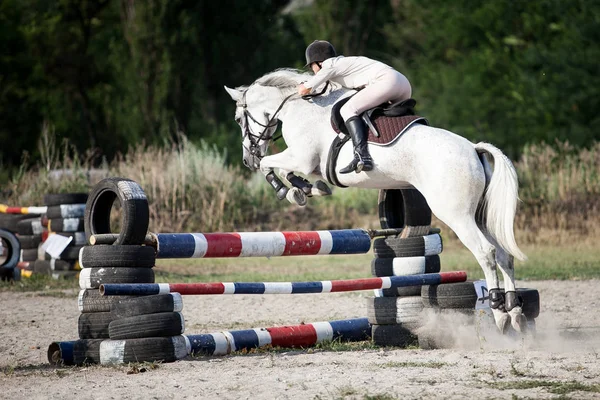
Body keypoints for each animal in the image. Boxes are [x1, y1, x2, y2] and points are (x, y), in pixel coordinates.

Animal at [226, 69, 528, 334]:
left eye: (239, 119)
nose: (247, 159)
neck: (298, 108)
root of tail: (473, 149)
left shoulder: (302, 157)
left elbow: (271, 164)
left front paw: (287, 190)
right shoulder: (306, 163)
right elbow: (286, 171)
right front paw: (306, 189)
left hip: (458, 215)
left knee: (486, 253)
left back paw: (499, 314)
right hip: (478, 215)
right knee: (504, 255)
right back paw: (515, 312)